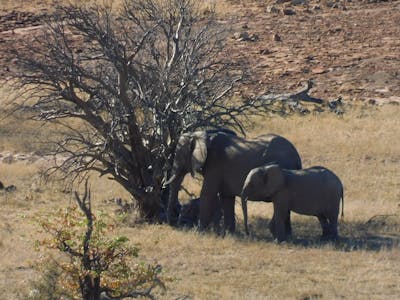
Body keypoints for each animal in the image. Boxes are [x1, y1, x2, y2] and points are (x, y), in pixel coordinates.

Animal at [165, 129, 300, 232]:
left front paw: (199, 232)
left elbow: (207, 194)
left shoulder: (215, 164)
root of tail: (298, 158)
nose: (173, 224)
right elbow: (226, 198)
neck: (204, 134)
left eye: (179, 156)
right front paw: (228, 234)